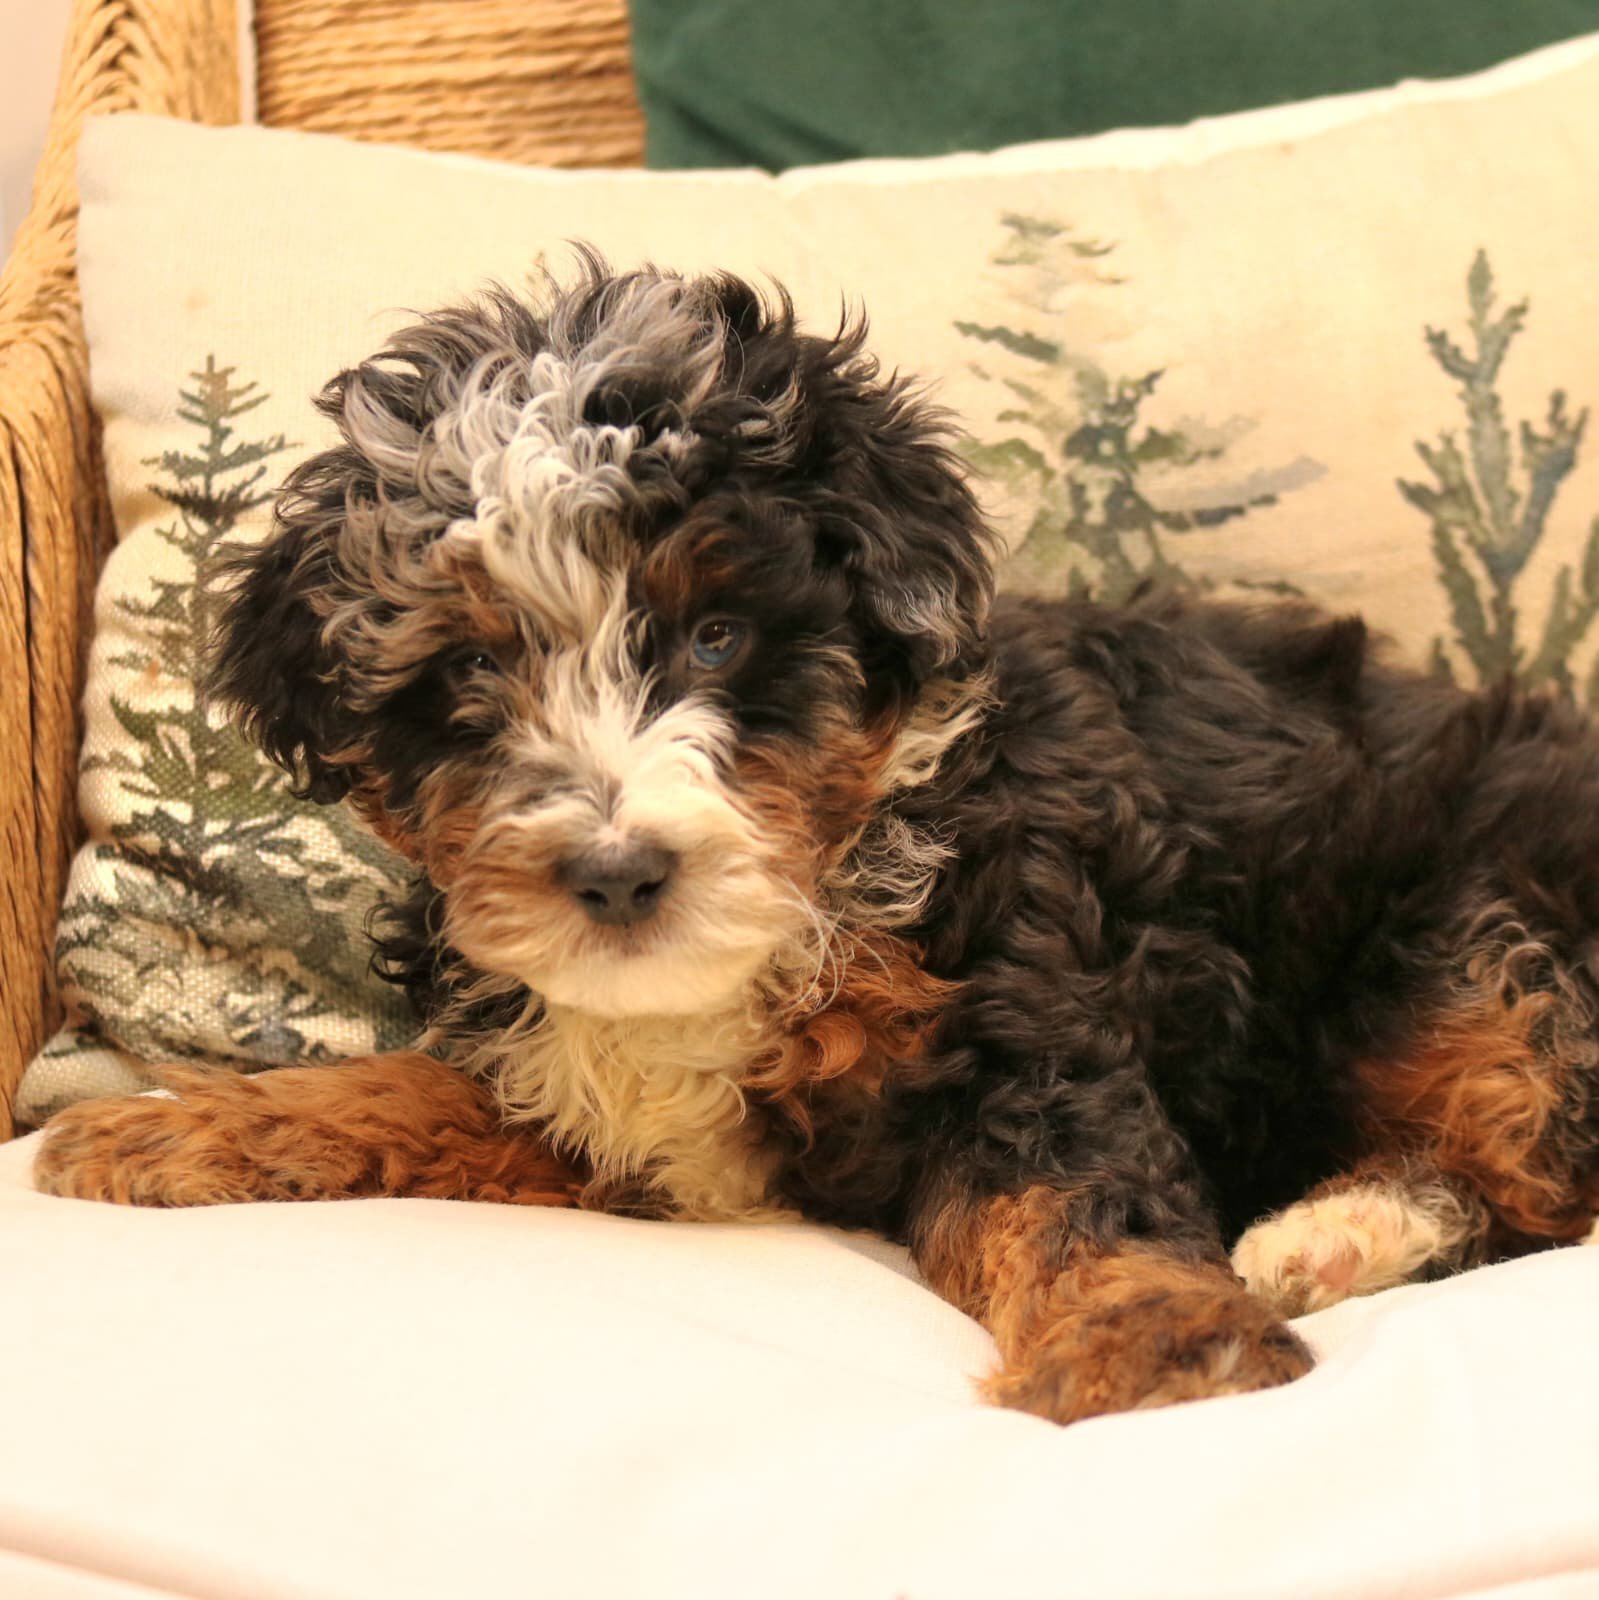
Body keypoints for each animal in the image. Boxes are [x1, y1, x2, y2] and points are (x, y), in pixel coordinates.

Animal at [34, 258, 1599, 1426]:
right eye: (472, 672)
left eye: (718, 637)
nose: (615, 876)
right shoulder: (590, 1093)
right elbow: (413, 1095)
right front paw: (178, 1128)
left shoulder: (1018, 1016)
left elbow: (1071, 1189)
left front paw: (1153, 1345)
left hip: (1482, 938)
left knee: (1545, 1168)